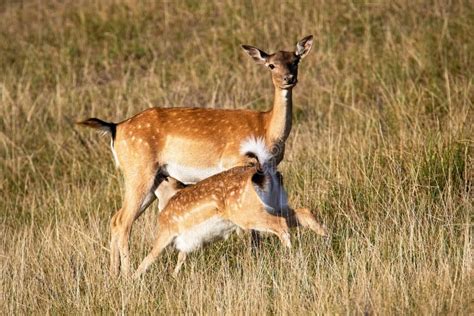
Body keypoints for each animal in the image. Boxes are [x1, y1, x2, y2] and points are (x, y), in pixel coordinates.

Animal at [78, 35, 312, 276]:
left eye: (295, 60)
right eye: (271, 65)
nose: (288, 79)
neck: (266, 128)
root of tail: (115, 128)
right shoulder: (234, 161)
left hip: (151, 181)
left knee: (116, 219)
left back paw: (114, 273)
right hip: (139, 173)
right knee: (124, 221)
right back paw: (127, 275)